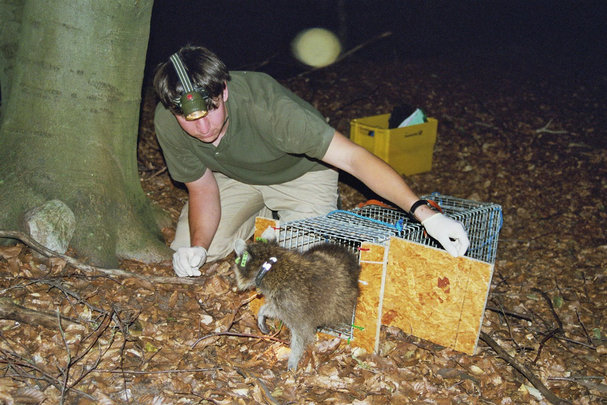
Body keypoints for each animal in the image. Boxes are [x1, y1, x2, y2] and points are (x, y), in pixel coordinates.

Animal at [230, 234, 358, 370]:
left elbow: (299, 333)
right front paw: (263, 313)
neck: (269, 266)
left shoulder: (290, 301)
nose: (234, 277)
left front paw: (294, 356)